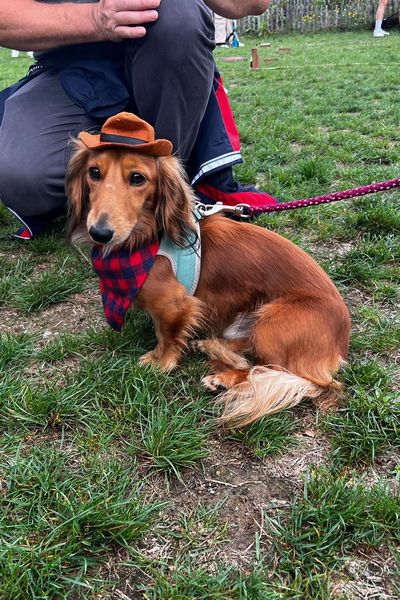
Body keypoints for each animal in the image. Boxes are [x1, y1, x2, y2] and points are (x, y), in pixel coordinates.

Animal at [68, 141, 350, 426]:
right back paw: (209, 347)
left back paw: (223, 378)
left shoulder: (174, 306)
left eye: (137, 178)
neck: (146, 238)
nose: (99, 233)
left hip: (271, 326)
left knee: (273, 371)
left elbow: (166, 335)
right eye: (94, 172)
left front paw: (160, 362)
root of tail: (340, 345)